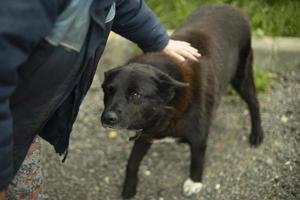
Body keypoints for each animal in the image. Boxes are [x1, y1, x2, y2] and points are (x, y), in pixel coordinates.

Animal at [100, 3, 262, 198]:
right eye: (109, 91)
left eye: (135, 95)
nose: (107, 118)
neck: (170, 103)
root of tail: (233, 8)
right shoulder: (146, 133)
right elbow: (131, 163)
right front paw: (129, 188)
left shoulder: (198, 137)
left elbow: (197, 159)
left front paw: (194, 182)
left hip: (241, 76)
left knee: (254, 102)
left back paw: (257, 135)